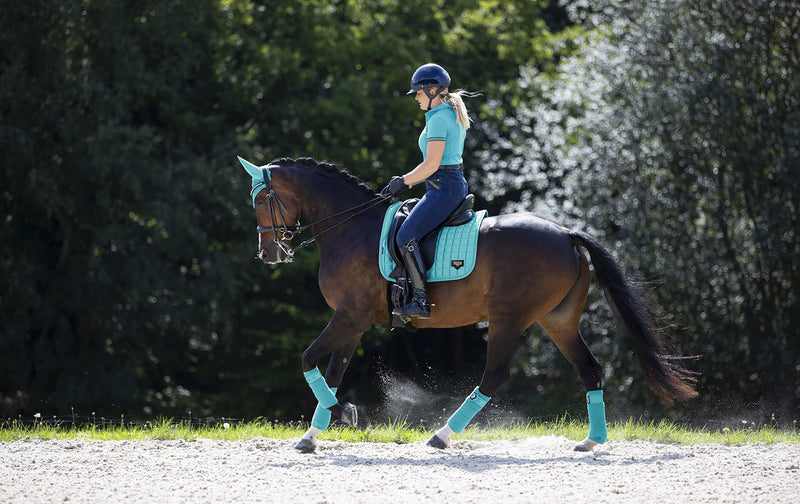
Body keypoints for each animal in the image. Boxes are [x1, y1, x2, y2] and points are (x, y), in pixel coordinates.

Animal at [239, 156, 700, 450]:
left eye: (260, 200)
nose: (268, 253)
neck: (352, 228)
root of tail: (566, 233)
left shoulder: (350, 318)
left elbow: (307, 360)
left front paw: (342, 414)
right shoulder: (352, 322)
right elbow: (331, 374)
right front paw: (313, 434)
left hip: (508, 318)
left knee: (494, 375)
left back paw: (442, 436)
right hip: (558, 321)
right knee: (589, 369)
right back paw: (591, 441)